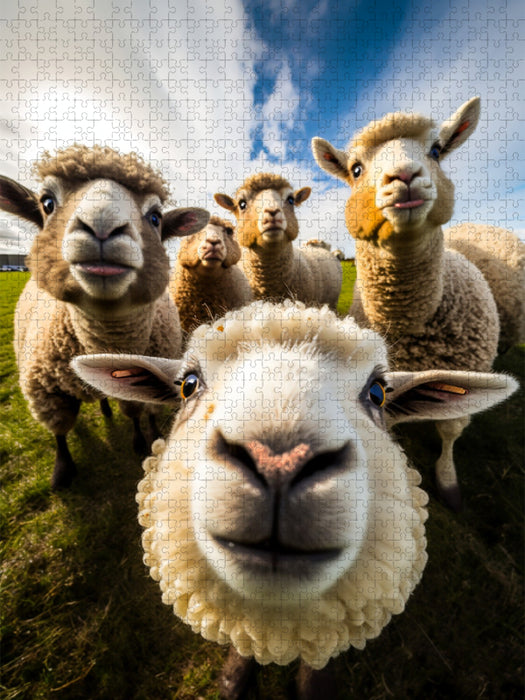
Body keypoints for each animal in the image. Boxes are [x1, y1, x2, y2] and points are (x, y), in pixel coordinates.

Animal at [0, 144, 209, 489]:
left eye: (155, 217)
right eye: (47, 203)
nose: (102, 225)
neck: (107, 341)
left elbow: (137, 411)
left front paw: (142, 439)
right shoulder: (46, 394)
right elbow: (59, 432)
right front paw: (62, 470)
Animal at [311, 96, 523, 510]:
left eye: (437, 150)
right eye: (356, 169)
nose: (404, 176)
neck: (410, 323)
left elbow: (451, 430)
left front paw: (448, 481)